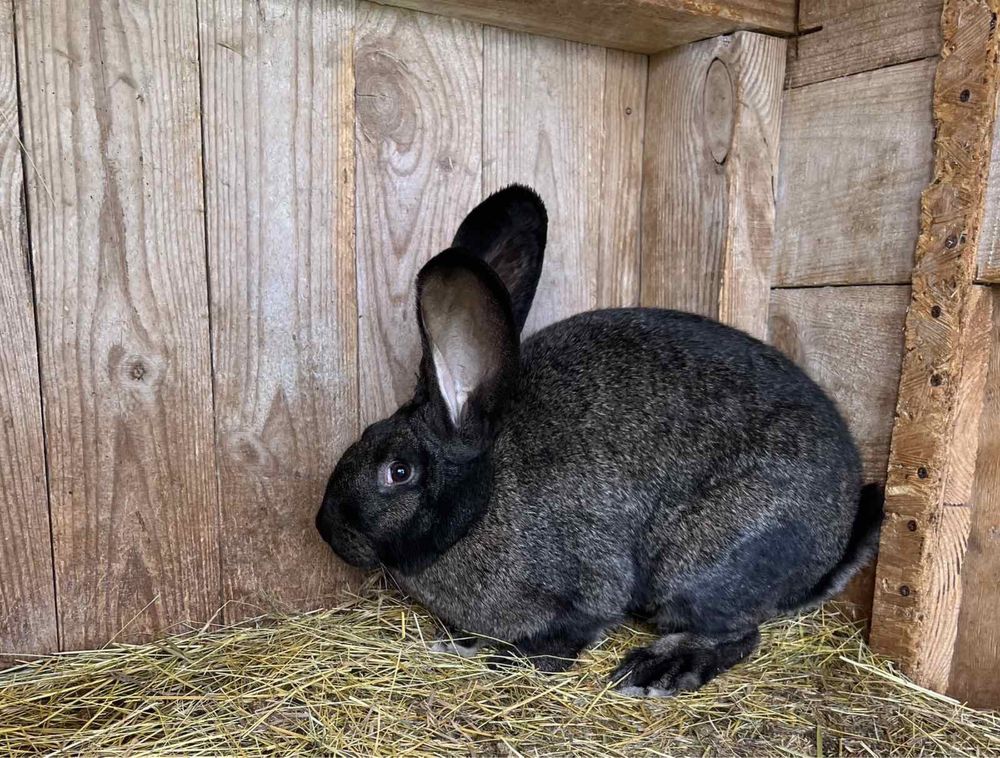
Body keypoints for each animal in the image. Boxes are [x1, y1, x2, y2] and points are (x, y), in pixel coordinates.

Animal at [318, 186, 884, 700]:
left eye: (398, 471)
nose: (325, 527)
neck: (481, 503)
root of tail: (834, 542)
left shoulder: (583, 590)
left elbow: (567, 634)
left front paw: (503, 657)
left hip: (700, 566)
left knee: (738, 633)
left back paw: (655, 670)